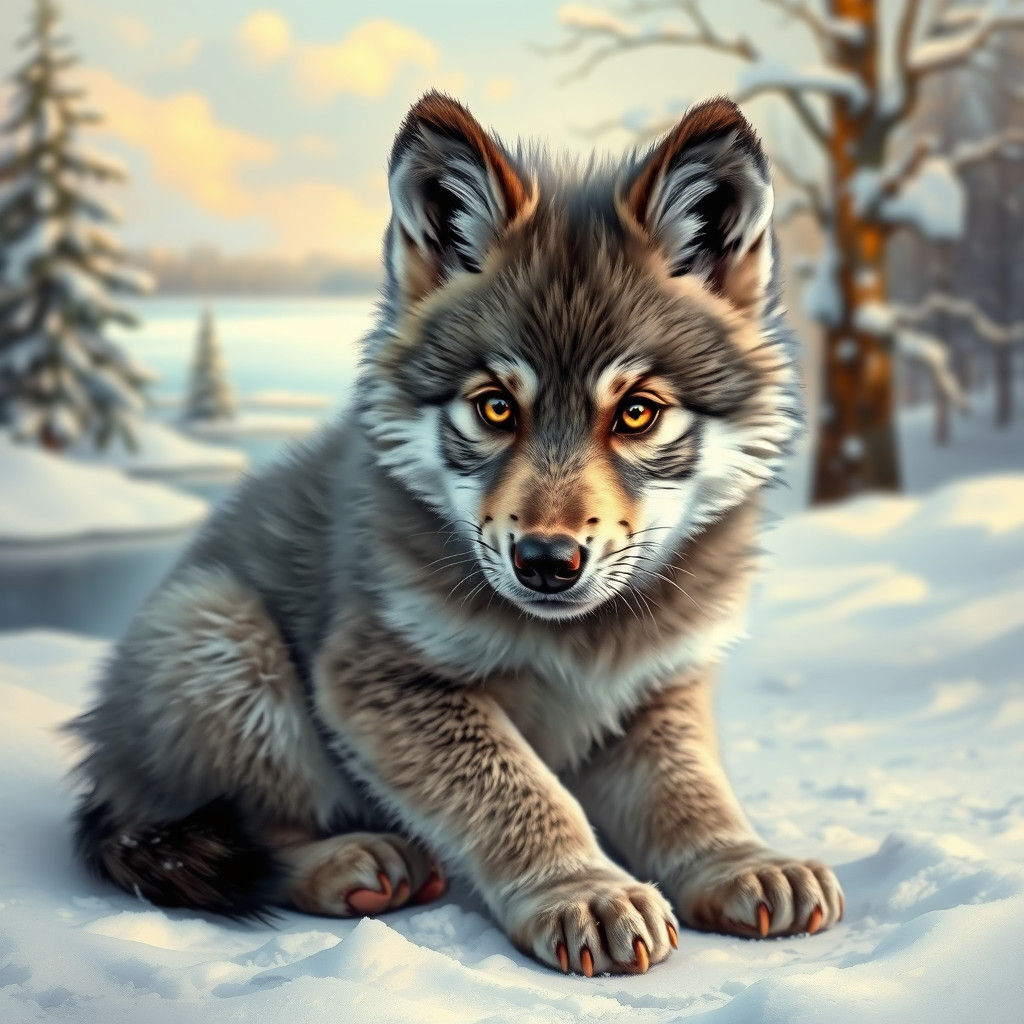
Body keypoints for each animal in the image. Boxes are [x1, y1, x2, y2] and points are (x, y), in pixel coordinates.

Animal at [69, 92, 843, 976]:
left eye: (638, 412)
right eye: (496, 408)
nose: (546, 561)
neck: (577, 647)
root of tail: (104, 768)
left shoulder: (656, 691)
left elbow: (692, 792)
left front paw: (741, 862)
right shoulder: (379, 680)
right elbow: (519, 789)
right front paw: (583, 891)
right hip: (221, 633)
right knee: (252, 832)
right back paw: (352, 862)